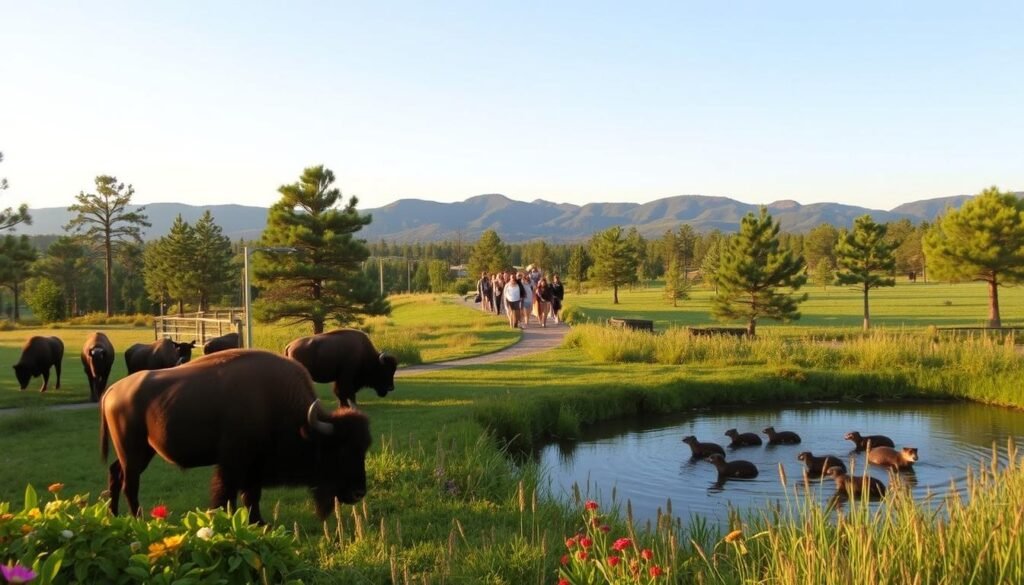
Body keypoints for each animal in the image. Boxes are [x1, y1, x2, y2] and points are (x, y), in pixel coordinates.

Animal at [100, 349, 371, 523]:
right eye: (339, 450)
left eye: (363, 449)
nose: (359, 493)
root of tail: (113, 390)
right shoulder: (234, 462)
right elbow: (228, 494)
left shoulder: (254, 466)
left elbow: (250, 495)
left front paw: (257, 522)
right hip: (133, 452)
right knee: (129, 484)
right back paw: (139, 520)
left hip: (141, 451)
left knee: (115, 473)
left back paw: (114, 515)